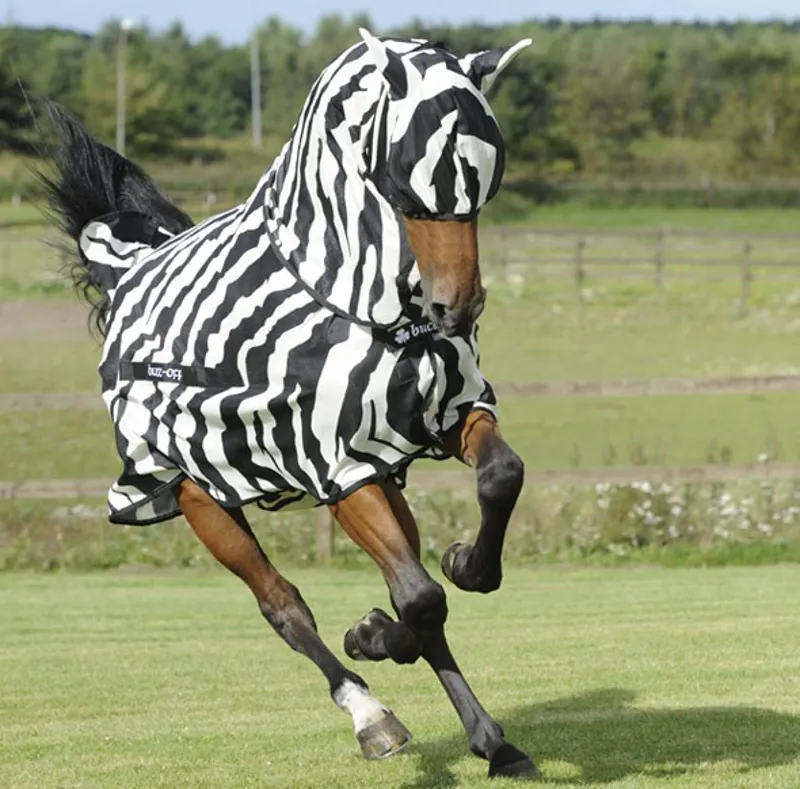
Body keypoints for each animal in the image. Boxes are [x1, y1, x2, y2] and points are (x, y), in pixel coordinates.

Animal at [41, 28, 540, 781]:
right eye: (405, 173)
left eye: (488, 174)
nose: (458, 306)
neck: (354, 305)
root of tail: (128, 272)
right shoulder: (337, 468)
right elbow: (420, 598)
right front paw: (386, 646)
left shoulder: (440, 417)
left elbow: (497, 483)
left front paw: (461, 568)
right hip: (200, 500)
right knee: (285, 606)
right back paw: (372, 717)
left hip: (375, 480)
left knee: (403, 584)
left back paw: (465, 716)